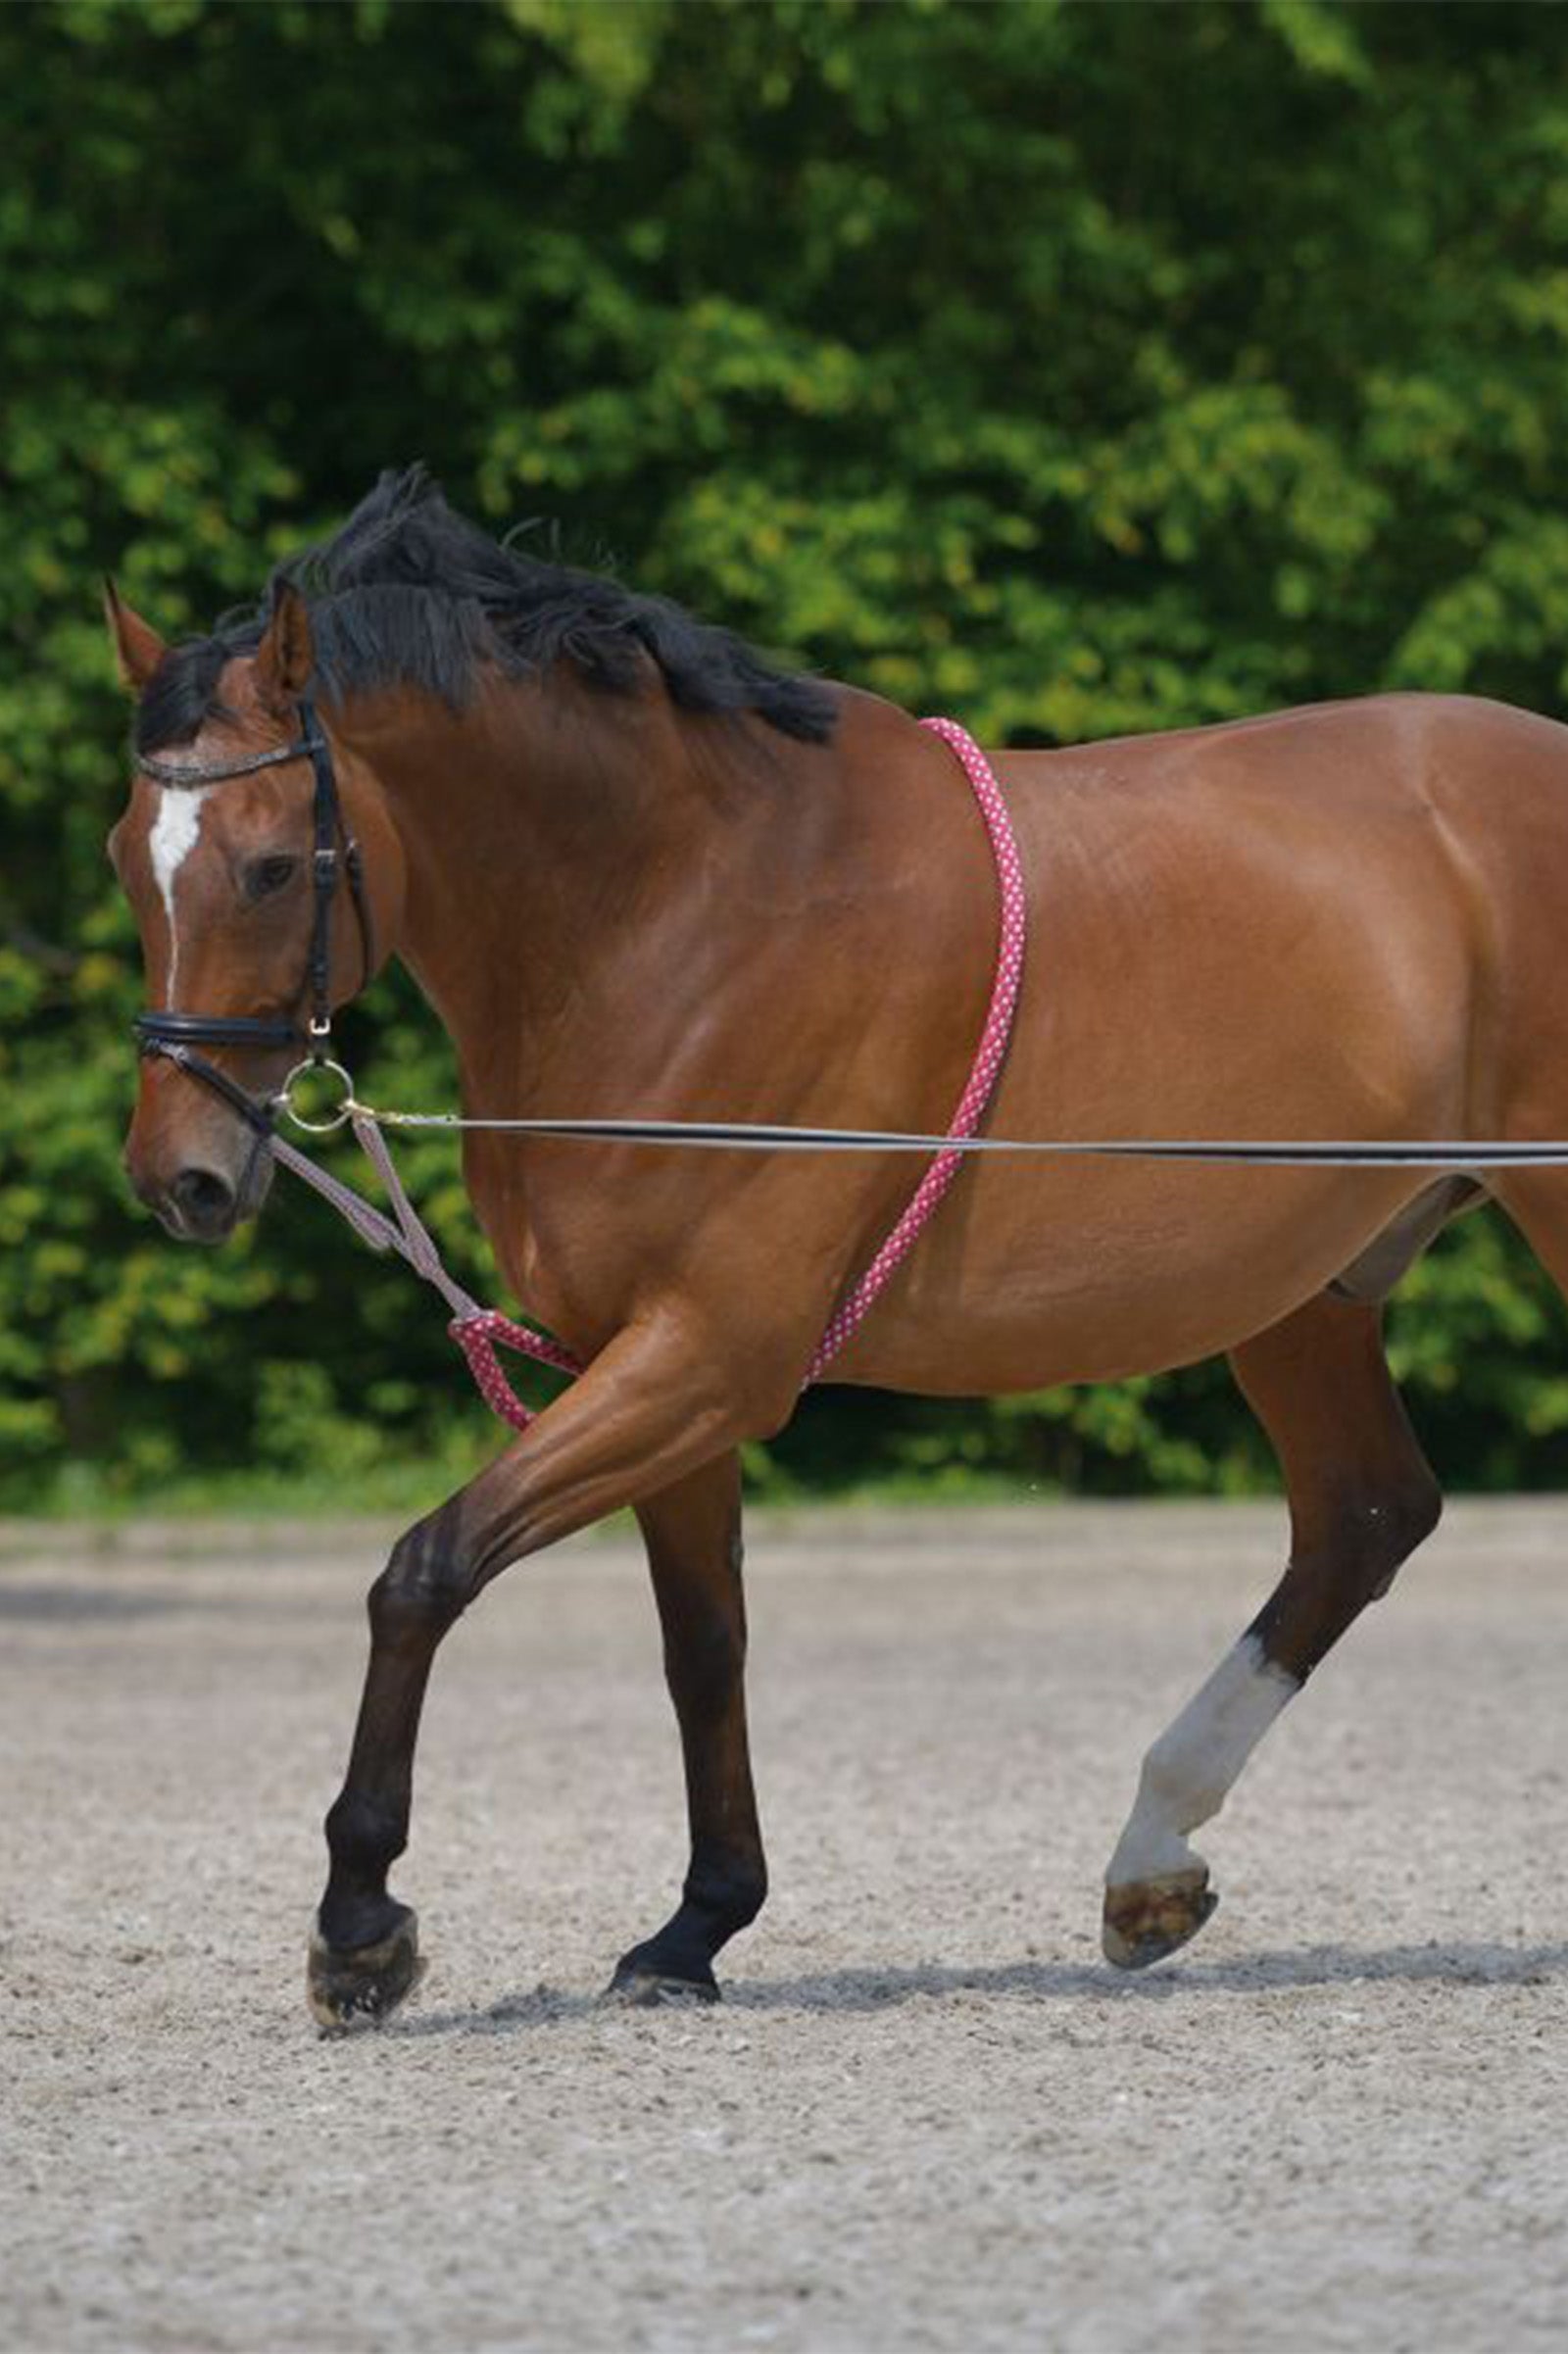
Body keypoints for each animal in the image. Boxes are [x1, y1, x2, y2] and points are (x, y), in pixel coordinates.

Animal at [105, 466, 1568, 2027]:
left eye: (272, 866)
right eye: (129, 859)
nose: (182, 1176)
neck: (680, 913)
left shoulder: (708, 1358)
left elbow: (425, 1570)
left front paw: (360, 1926)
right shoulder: (653, 1366)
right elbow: (703, 1646)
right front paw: (693, 1928)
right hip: (1302, 1290)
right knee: (1362, 1516)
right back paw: (1149, 1864)